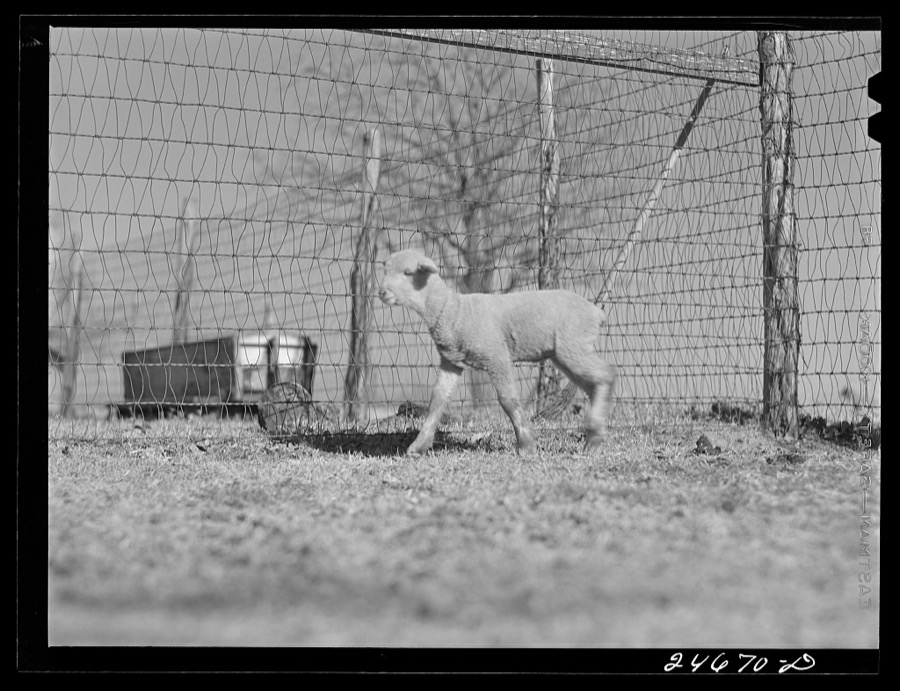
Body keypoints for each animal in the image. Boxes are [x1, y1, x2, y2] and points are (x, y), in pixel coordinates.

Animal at [378, 249, 615, 455]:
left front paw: (526, 445)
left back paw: (594, 436)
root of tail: (597, 313)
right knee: (593, 383)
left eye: (408, 272)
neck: (454, 312)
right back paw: (593, 437)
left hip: (572, 346)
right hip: (564, 353)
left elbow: (508, 400)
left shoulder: (496, 356)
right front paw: (418, 447)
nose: (381, 292)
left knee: (605, 375)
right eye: (385, 270)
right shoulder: (451, 362)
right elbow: (437, 400)